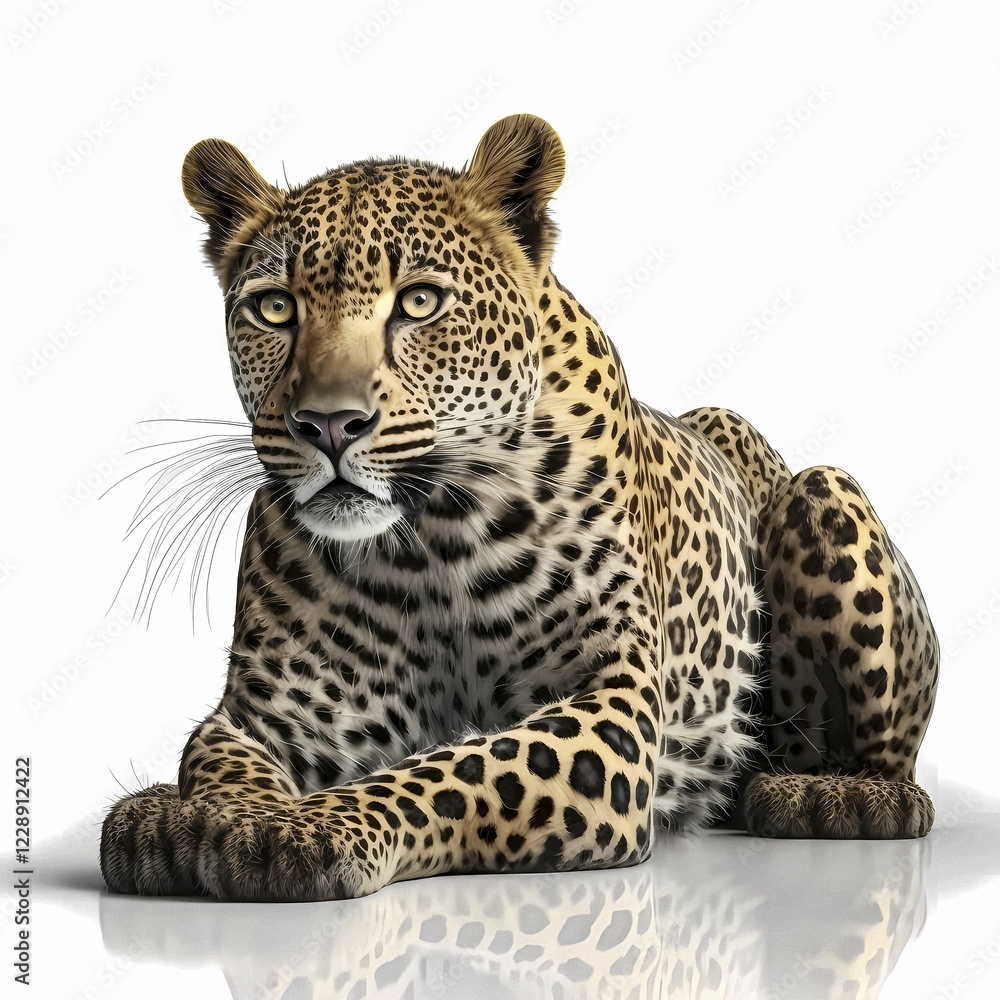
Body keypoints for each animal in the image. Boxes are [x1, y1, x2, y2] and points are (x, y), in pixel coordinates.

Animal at [99, 114, 939, 903]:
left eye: (420, 302)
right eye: (274, 309)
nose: (329, 426)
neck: (426, 539)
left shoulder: (609, 702)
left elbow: (454, 771)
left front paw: (309, 825)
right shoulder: (277, 712)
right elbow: (219, 762)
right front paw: (200, 818)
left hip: (822, 494)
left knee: (891, 767)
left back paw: (828, 795)